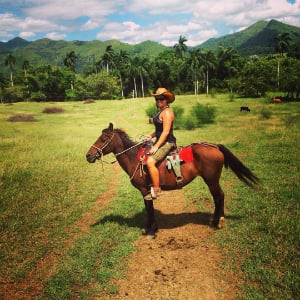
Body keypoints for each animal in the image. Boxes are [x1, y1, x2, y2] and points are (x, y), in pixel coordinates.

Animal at [85, 123, 258, 236]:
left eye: (103, 139)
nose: (88, 156)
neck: (134, 158)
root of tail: (214, 146)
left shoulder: (145, 190)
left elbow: (149, 209)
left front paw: (151, 230)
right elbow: (149, 208)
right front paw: (151, 228)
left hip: (212, 180)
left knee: (219, 197)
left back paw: (218, 222)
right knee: (218, 197)